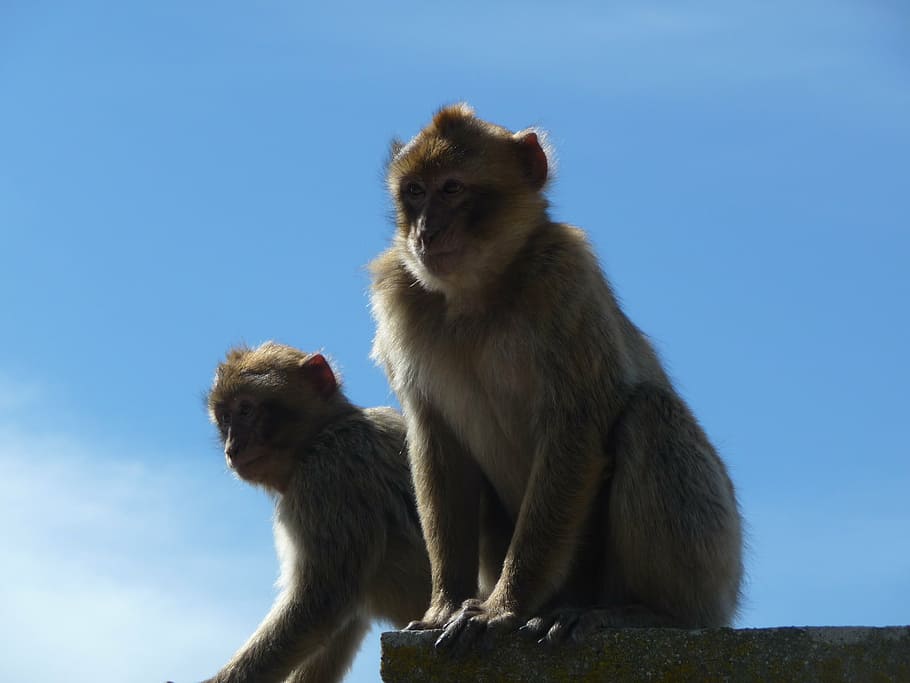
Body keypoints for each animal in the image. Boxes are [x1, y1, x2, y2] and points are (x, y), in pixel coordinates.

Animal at [195, 342, 430, 683]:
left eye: (246, 410)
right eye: (225, 419)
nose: (232, 448)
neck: (324, 431)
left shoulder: (326, 476)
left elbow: (320, 602)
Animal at [369, 104, 743, 652]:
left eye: (452, 189)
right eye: (414, 191)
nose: (425, 233)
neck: (479, 295)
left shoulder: (565, 279)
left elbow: (576, 430)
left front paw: (502, 608)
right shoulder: (400, 298)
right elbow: (437, 444)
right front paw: (444, 606)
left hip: (714, 564)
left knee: (650, 415)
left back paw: (649, 613)